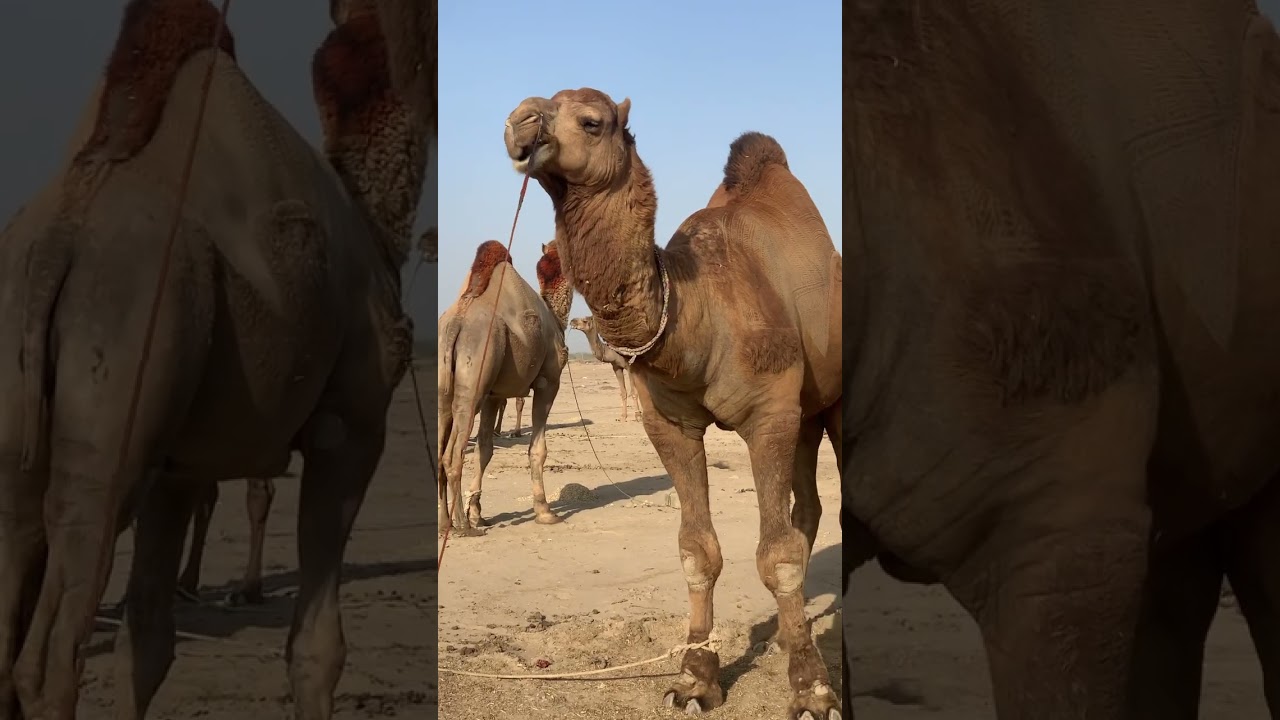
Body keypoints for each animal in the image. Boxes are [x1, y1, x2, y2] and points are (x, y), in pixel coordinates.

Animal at [0, 2, 429, 718]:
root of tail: (61, 236)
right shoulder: (352, 424)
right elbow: (318, 649)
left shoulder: (178, 466)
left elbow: (146, 644)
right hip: (119, 386)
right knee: (49, 654)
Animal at [438, 240, 572, 536]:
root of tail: (457, 322)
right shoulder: (548, 381)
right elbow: (538, 450)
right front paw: (545, 511)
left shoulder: (493, 395)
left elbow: (485, 450)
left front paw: (478, 513)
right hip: (474, 374)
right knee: (452, 455)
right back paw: (462, 526)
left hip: (446, 386)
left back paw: (444, 523)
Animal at [504, 90, 842, 719]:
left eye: (592, 121)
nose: (520, 124)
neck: (695, 313)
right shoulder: (670, 424)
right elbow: (697, 550)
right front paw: (695, 678)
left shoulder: (768, 417)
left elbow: (776, 553)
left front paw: (812, 689)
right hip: (807, 414)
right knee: (806, 507)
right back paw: (790, 629)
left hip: (831, 404)